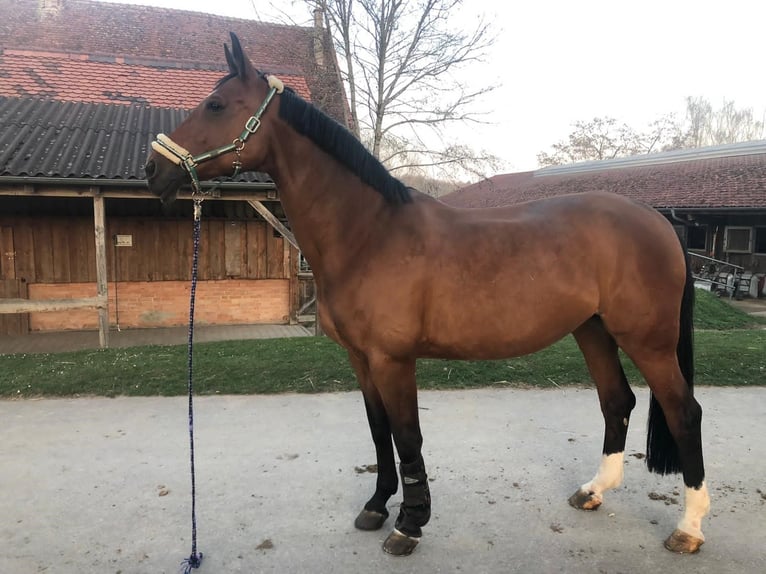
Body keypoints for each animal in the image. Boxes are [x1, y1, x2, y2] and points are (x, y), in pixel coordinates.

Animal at [144, 32, 708, 560]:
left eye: (217, 105)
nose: (154, 170)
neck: (370, 233)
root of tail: (657, 219)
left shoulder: (393, 360)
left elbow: (407, 436)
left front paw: (408, 526)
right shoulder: (361, 359)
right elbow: (379, 432)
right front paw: (376, 507)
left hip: (649, 341)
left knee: (683, 412)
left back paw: (689, 529)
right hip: (592, 330)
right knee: (617, 402)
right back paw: (593, 491)